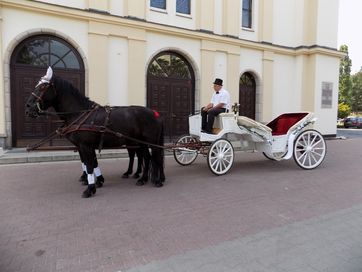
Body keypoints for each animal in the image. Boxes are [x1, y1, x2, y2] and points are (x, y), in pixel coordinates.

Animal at [25, 66, 165, 198]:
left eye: (43, 86)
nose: (28, 107)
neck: (79, 113)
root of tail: (154, 113)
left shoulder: (85, 146)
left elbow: (89, 166)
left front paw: (90, 189)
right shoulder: (85, 147)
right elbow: (91, 163)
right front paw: (97, 181)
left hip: (150, 142)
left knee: (156, 157)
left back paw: (157, 180)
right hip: (140, 142)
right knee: (146, 157)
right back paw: (143, 178)